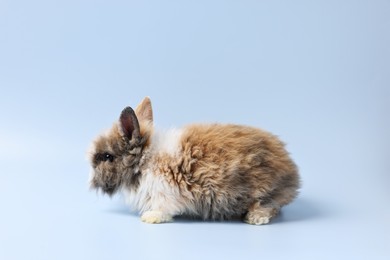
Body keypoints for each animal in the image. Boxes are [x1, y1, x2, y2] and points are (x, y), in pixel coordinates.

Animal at [88, 96, 300, 224]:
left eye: (107, 156)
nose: (91, 179)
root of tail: (293, 173)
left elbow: (163, 209)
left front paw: (150, 217)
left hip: (263, 192)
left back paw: (255, 218)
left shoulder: (164, 192)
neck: (145, 160)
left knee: (269, 206)